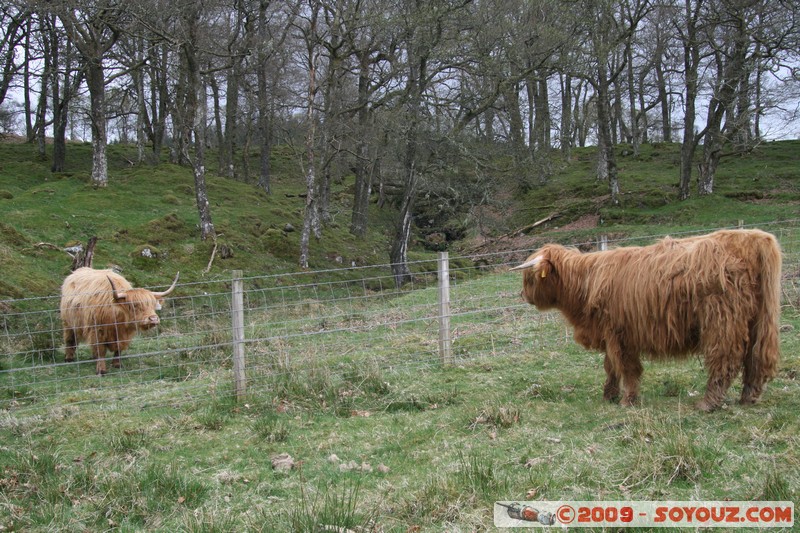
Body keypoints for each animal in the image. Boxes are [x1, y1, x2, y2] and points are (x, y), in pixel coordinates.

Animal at [511, 229, 782, 411]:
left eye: (530, 278)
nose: (523, 295)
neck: (584, 284)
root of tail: (752, 237)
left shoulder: (621, 333)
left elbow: (627, 368)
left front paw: (627, 400)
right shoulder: (610, 333)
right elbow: (610, 366)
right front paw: (608, 395)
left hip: (722, 321)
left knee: (725, 360)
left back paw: (708, 403)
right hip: (757, 319)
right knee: (755, 358)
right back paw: (748, 398)